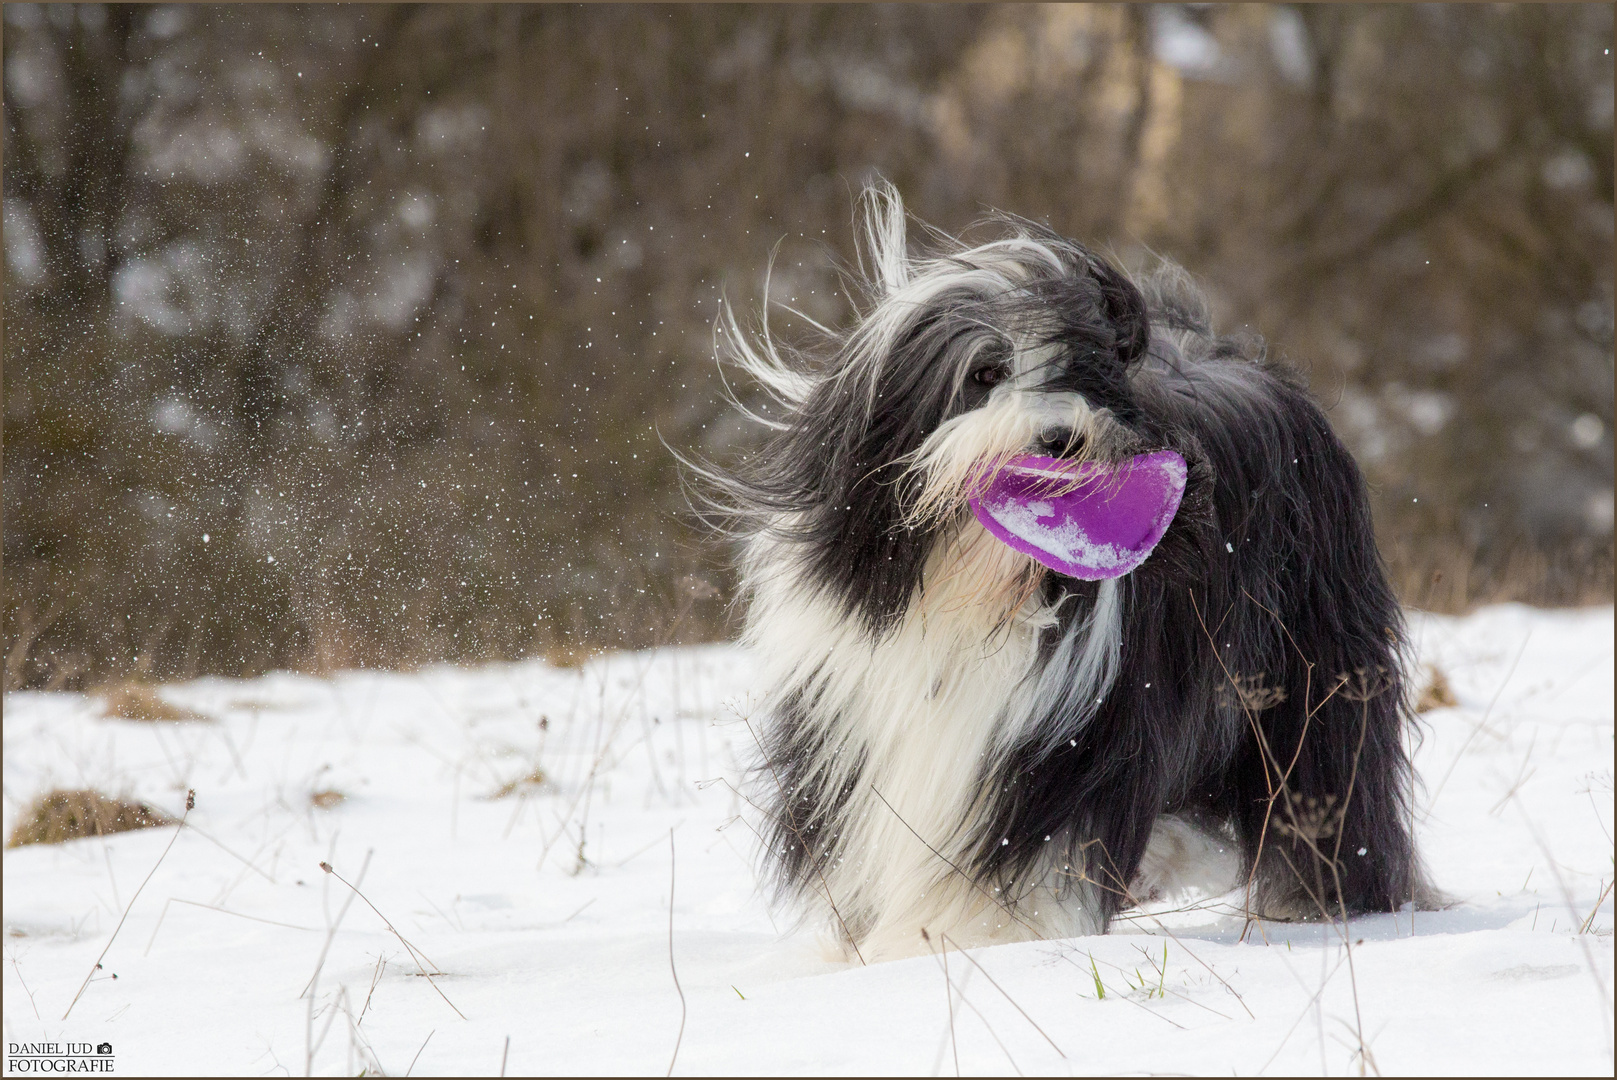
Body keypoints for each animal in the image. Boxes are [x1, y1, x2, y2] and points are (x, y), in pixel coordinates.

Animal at [695, 185, 1442, 963]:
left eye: (1077, 378)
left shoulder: (1063, 734)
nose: (1060, 438)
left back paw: (1327, 901)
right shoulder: (853, 709)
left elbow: (1032, 848)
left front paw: (973, 936)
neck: (969, 588)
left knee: (1323, 789)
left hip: (1311, 674)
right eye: (984, 373)